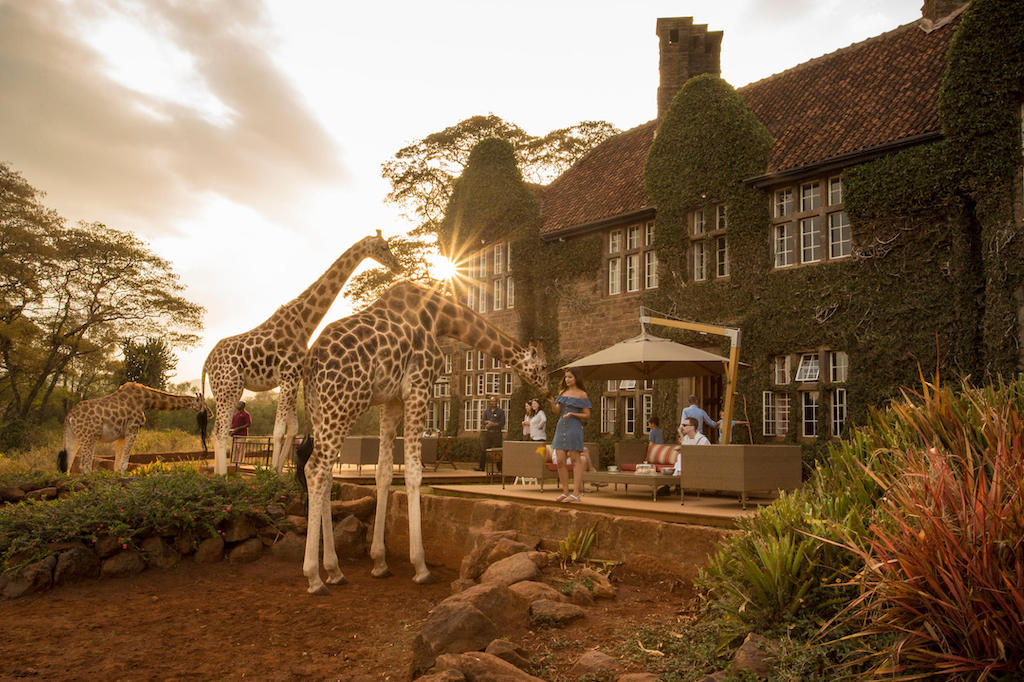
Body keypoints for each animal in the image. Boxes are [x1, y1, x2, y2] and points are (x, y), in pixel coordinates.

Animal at [57, 382, 209, 474]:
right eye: (204, 404)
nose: (211, 413)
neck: (146, 400)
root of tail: (69, 417)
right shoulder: (133, 428)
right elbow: (124, 463)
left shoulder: (121, 435)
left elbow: (117, 464)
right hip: (90, 437)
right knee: (85, 465)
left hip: (73, 436)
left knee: (68, 465)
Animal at [201, 232, 401, 475]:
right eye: (384, 247)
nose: (398, 266)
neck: (304, 323)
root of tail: (207, 362)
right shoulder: (287, 376)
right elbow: (278, 431)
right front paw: (270, 475)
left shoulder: (294, 377)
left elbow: (292, 428)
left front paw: (278, 473)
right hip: (228, 386)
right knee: (220, 431)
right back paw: (222, 476)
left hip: (230, 388)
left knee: (217, 430)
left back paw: (218, 474)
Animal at [300, 280, 550, 594]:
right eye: (543, 366)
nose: (550, 390)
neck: (440, 318)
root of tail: (310, 362)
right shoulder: (418, 387)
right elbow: (413, 472)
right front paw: (420, 567)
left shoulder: (392, 400)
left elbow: (384, 473)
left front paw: (379, 562)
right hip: (344, 403)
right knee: (316, 469)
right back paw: (314, 577)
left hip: (319, 409)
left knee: (325, 472)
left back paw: (334, 570)